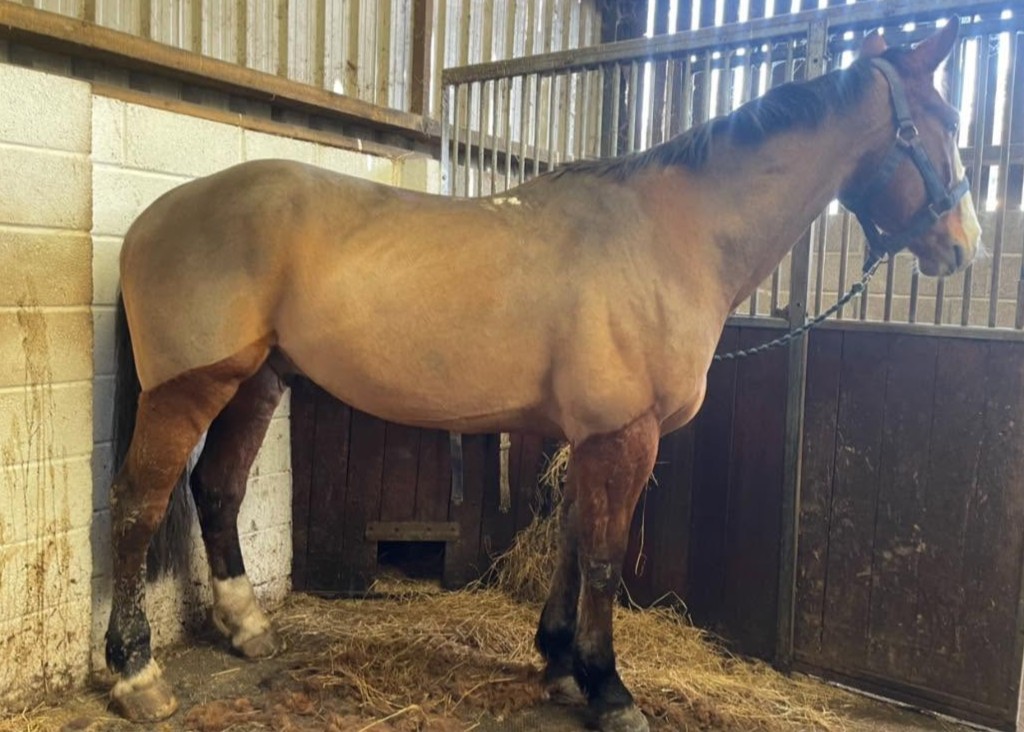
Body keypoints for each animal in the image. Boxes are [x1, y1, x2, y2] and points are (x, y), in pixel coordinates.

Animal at [104, 19, 979, 732]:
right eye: (941, 125)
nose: (963, 247)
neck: (668, 237)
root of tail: (152, 218)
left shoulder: (588, 437)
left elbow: (571, 541)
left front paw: (560, 663)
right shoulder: (625, 434)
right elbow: (604, 557)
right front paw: (611, 690)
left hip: (257, 382)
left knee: (217, 490)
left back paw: (248, 628)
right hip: (190, 389)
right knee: (138, 507)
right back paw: (137, 675)